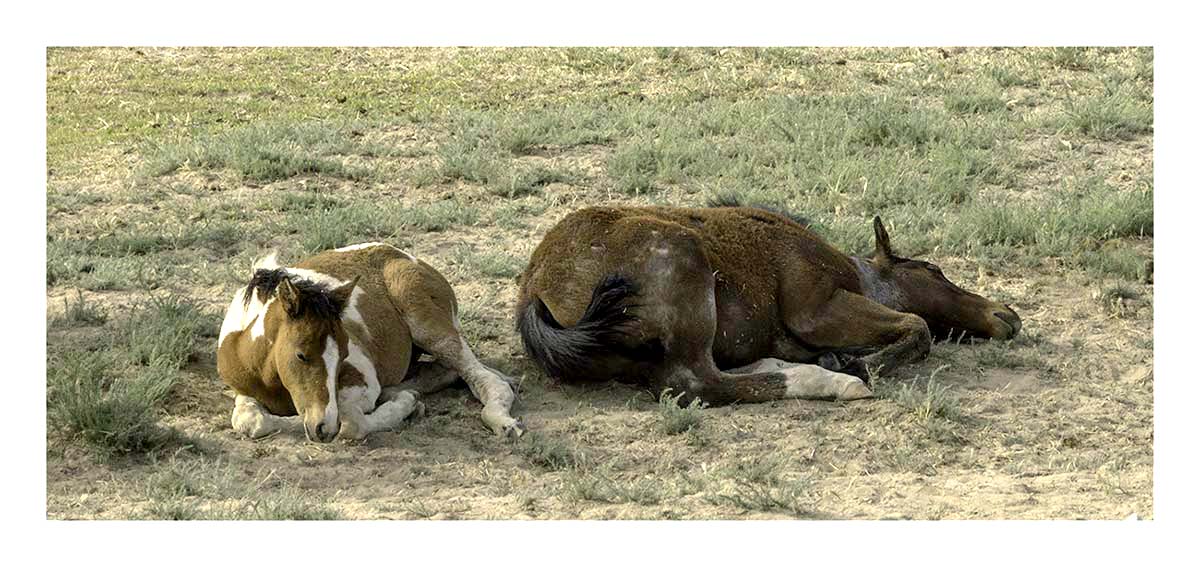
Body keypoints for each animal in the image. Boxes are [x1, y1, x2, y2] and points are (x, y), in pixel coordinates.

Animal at [217, 242, 524, 442]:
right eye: (301, 355)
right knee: (444, 371)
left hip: (430, 327)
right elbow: (250, 420)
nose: (323, 428)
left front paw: (405, 405)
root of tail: (410, 258)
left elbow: (351, 422)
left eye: (343, 355)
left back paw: (502, 422)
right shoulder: (245, 389)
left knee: (485, 379)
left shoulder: (362, 381)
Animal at [515, 202, 1021, 406]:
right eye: (932, 270)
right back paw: (831, 382)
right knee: (697, 385)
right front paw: (859, 366)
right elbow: (917, 325)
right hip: (686, 274)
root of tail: (533, 292)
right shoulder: (815, 311)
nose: (1007, 316)